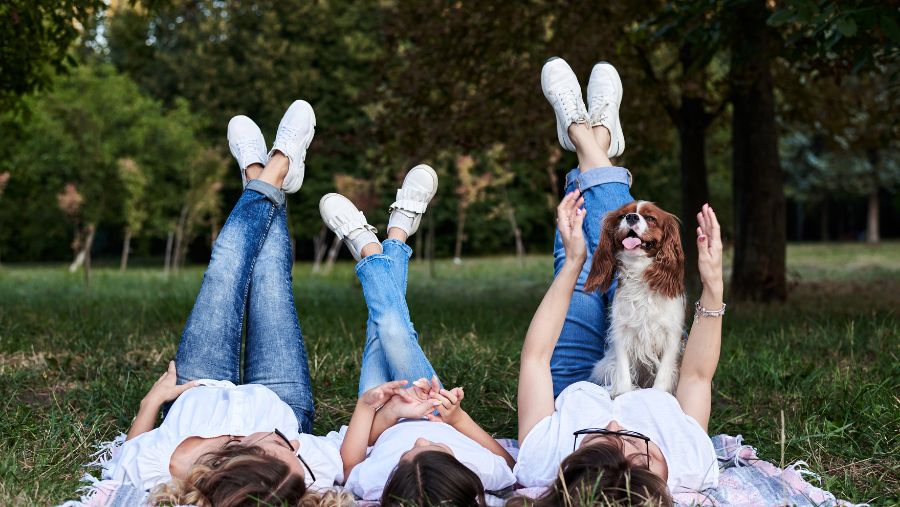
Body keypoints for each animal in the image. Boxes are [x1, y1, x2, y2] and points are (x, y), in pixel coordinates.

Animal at [588, 199, 684, 396]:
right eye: (621, 216)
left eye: (650, 218)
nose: (631, 217)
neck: (639, 271)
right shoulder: (621, 332)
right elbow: (623, 373)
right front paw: (623, 394)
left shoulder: (671, 335)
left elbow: (663, 374)